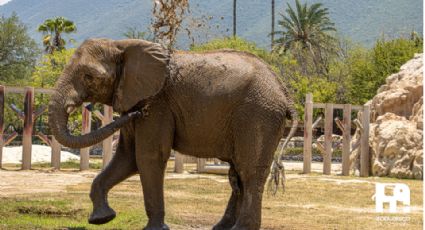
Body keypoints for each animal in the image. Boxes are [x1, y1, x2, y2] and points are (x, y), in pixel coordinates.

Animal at [48, 38, 296, 229]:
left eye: (89, 76)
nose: (140, 112)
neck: (121, 44)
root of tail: (284, 92)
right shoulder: (134, 98)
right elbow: (128, 158)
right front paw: (102, 219)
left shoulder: (158, 103)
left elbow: (148, 156)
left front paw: (154, 228)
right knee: (236, 174)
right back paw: (222, 227)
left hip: (257, 114)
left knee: (249, 170)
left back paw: (241, 228)